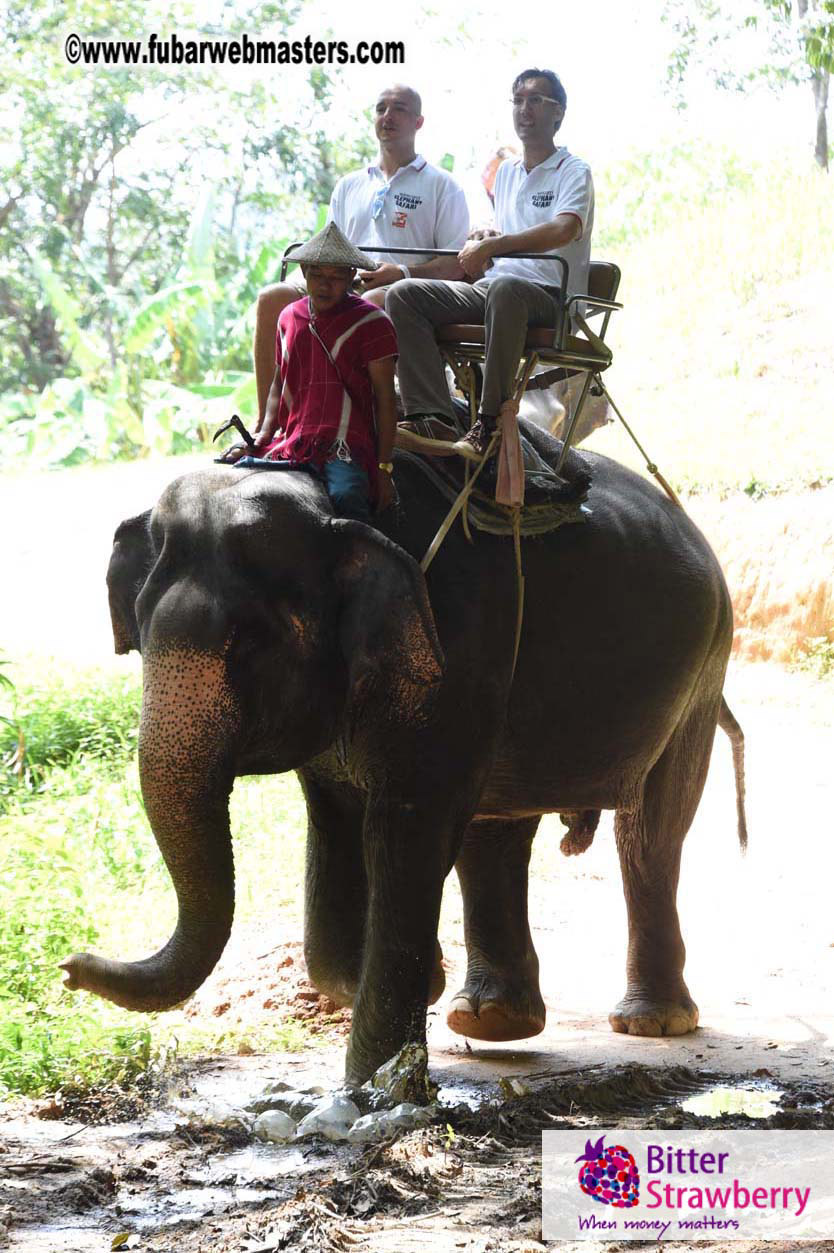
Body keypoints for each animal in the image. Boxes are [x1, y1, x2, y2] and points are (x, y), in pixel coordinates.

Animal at [61, 421, 746, 1087]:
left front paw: (375, 1086)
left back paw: (651, 1023)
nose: (69, 967)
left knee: (650, 833)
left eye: (250, 645)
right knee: (495, 831)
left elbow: (406, 829)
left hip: (706, 663)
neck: (336, 505)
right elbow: (335, 823)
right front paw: (419, 985)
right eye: (139, 637)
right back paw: (491, 1020)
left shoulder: (457, 644)